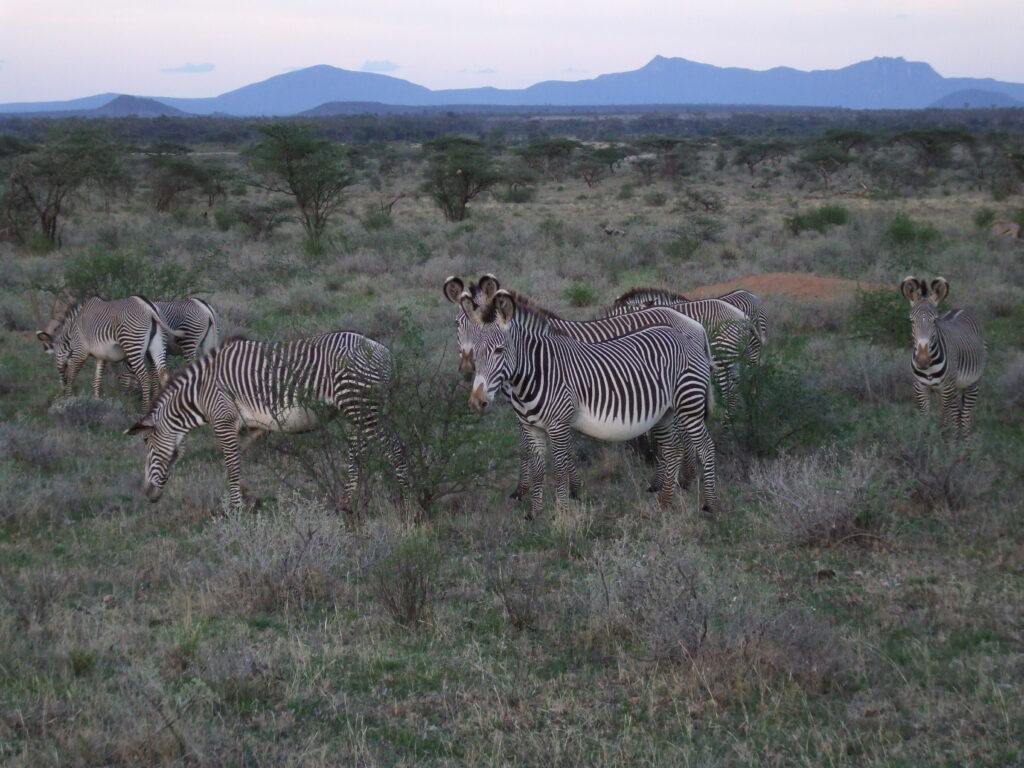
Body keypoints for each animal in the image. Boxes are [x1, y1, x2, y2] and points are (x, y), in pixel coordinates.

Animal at [126, 331, 411, 512]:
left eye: (147, 443)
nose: (146, 493)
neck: (199, 391)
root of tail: (386, 355)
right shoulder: (249, 425)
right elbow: (239, 458)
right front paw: (249, 497)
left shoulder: (223, 420)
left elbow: (231, 464)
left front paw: (235, 508)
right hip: (356, 413)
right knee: (357, 454)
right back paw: (347, 503)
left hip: (361, 409)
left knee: (395, 448)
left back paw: (408, 500)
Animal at [444, 274, 716, 501]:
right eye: (457, 324)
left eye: (495, 346)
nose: (467, 368)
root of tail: (692, 323)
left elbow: (530, 448)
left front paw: (533, 490)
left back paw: (686, 480)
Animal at [901, 276, 987, 438]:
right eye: (911, 321)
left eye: (934, 321)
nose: (923, 360)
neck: (928, 369)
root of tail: (960, 309)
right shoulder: (920, 388)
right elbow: (924, 422)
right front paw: (923, 443)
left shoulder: (946, 388)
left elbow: (943, 423)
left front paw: (942, 442)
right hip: (955, 387)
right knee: (957, 415)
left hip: (972, 382)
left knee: (964, 416)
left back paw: (964, 444)